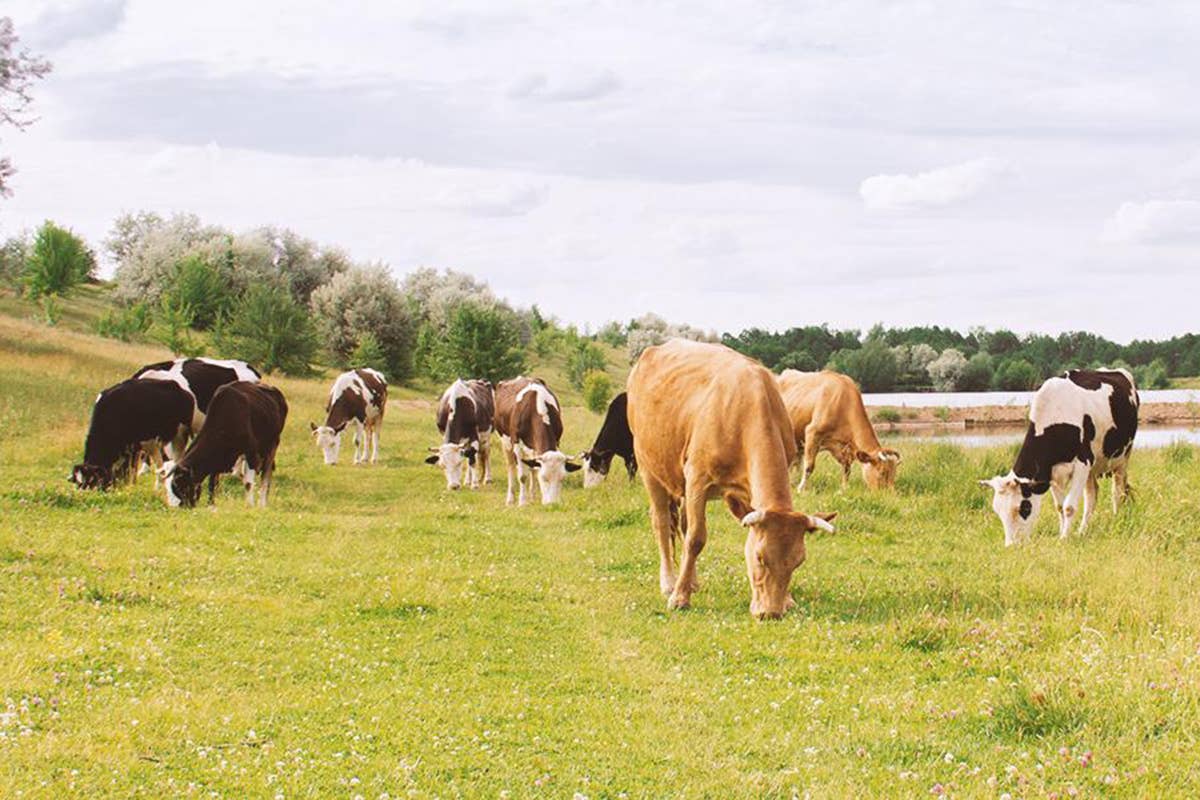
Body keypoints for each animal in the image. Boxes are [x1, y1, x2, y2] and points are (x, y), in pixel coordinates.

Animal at [628, 340, 835, 623]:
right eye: (760, 557)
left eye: (798, 561)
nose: (771, 613)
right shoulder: (698, 479)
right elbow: (696, 539)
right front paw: (679, 598)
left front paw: (789, 600)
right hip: (649, 466)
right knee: (662, 523)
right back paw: (670, 582)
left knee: (682, 524)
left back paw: (691, 581)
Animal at [979, 367, 1137, 544]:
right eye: (997, 510)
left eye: (1025, 508)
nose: (1011, 545)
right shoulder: (1050, 471)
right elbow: (1060, 507)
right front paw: (1063, 533)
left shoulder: (1083, 463)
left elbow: (1069, 507)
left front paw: (1064, 538)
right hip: (1092, 469)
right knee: (1092, 495)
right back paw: (1082, 531)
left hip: (1123, 458)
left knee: (1117, 492)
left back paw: (1115, 520)